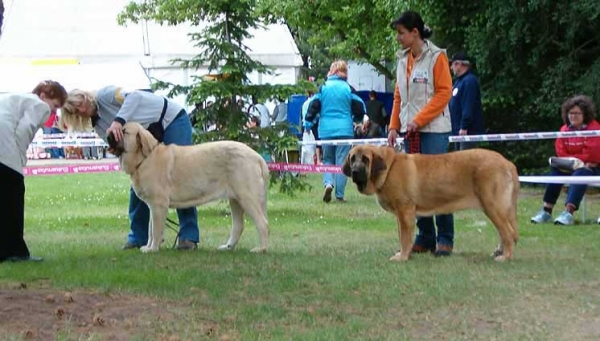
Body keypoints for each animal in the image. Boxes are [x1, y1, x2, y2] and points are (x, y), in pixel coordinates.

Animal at [106, 122, 268, 252]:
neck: (144, 159)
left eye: (123, 132)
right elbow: (151, 230)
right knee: (238, 226)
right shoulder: (153, 206)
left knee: (263, 223)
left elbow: (156, 230)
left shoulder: (159, 205)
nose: (108, 135)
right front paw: (148, 246)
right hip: (235, 200)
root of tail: (257, 156)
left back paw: (261, 249)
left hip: (247, 197)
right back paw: (228, 247)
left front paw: (153, 249)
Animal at [344, 145, 516, 260]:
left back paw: (505, 257)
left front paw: (402, 257)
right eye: (352, 159)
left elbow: (405, 238)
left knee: (508, 233)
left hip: (493, 206)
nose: (355, 172)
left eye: (365, 159)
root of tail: (507, 162)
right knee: (506, 233)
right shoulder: (400, 215)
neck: (389, 167)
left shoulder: (405, 211)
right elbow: (401, 236)